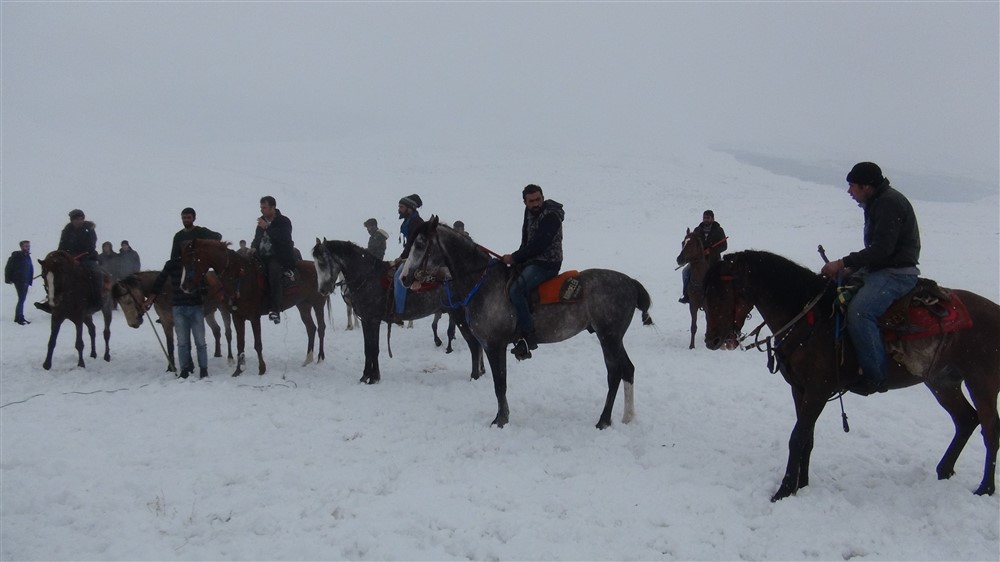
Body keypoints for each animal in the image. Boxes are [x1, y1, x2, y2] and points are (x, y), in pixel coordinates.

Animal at [182, 237, 330, 374]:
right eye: (183, 260)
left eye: (192, 260)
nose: (184, 286)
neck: (240, 278)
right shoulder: (237, 317)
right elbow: (240, 344)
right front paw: (238, 370)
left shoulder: (254, 317)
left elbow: (258, 344)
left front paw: (262, 369)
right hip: (303, 305)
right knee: (311, 328)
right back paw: (308, 359)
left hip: (318, 304)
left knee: (321, 328)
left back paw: (320, 358)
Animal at [398, 217, 656, 426]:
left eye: (419, 244)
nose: (404, 278)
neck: (483, 284)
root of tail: (630, 283)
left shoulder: (494, 345)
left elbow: (499, 384)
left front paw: (500, 420)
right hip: (614, 338)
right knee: (628, 369)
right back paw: (627, 416)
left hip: (608, 337)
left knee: (614, 373)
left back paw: (603, 420)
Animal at [704, 249, 1000, 498]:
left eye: (722, 293)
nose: (712, 340)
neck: (809, 318)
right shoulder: (799, 389)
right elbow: (807, 437)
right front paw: (802, 485)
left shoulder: (818, 391)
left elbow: (797, 438)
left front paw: (784, 490)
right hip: (942, 381)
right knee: (966, 419)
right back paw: (944, 471)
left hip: (981, 383)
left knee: (989, 428)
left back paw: (984, 488)